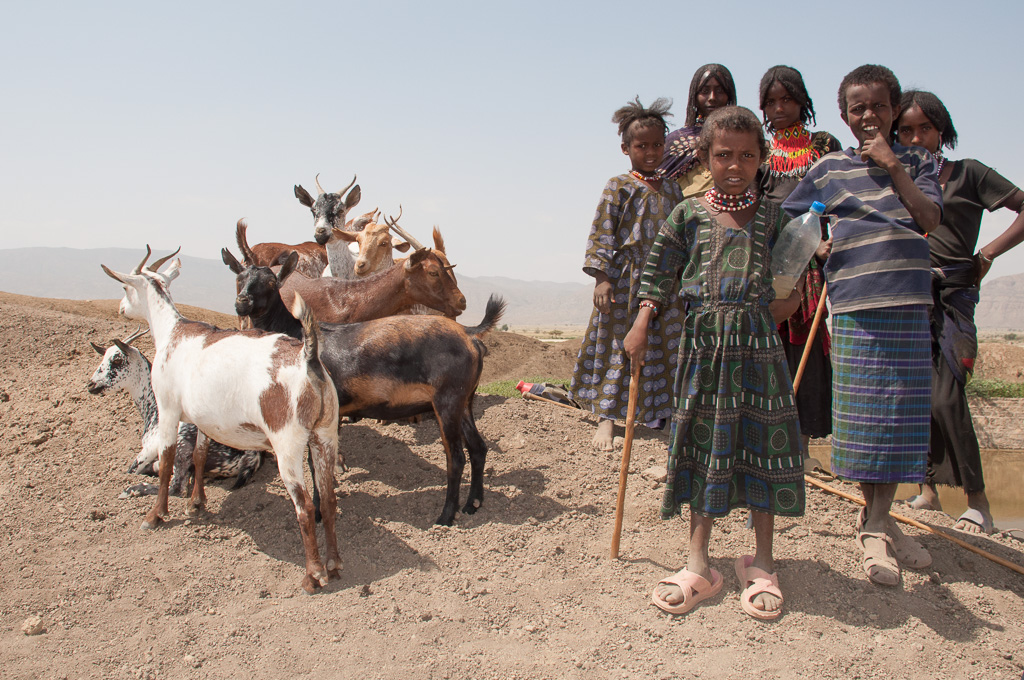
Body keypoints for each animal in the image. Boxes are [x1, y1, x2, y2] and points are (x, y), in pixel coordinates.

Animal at [85, 323, 262, 493]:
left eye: (116, 359)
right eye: (103, 358)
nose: (91, 385)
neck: (154, 409)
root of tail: (251, 453)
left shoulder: (147, 451)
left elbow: (131, 470)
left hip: (181, 446)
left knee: (177, 488)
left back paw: (133, 489)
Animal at [104, 246, 344, 593]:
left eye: (125, 286)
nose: (121, 309)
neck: (173, 333)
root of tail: (308, 359)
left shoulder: (168, 409)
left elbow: (166, 462)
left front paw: (155, 515)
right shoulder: (204, 419)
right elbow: (200, 455)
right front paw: (196, 503)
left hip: (287, 444)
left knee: (304, 507)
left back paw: (312, 575)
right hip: (324, 436)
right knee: (327, 499)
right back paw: (334, 564)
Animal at [226, 246, 509, 522]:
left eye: (271, 283)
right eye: (240, 278)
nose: (242, 302)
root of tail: (470, 336)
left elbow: (315, 465)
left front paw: (318, 510)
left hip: (448, 402)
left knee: (457, 458)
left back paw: (447, 515)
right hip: (464, 401)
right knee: (478, 448)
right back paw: (473, 503)